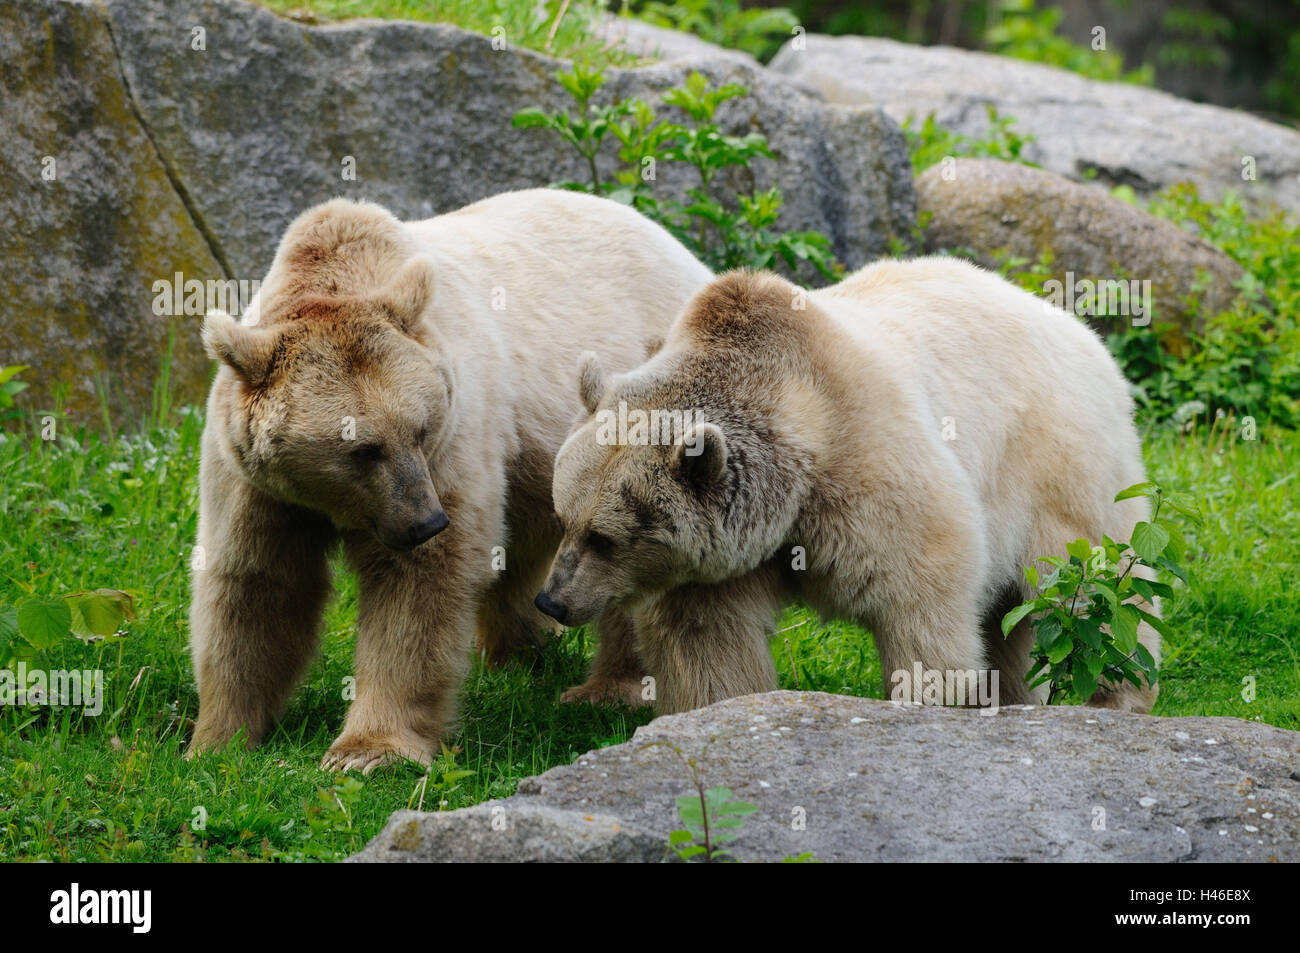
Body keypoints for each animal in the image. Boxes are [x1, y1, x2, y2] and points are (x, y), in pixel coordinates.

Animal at [188, 187, 712, 774]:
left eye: (419, 429)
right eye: (362, 450)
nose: (424, 522)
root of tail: (680, 250)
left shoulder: (453, 440)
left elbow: (419, 589)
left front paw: (369, 751)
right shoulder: (255, 480)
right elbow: (257, 584)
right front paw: (217, 741)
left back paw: (608, 688)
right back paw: (518, 652)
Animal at [533, 256, 1164, 717]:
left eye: (606, 537)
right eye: (563, 518)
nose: (552, 600)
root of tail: (1080, 332)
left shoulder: (869, 469)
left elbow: (922, 599)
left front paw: (933, 700)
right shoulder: (718, 561)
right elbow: (709, 641)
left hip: (1056, 468)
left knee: (1099, 589)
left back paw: (1119, 696)